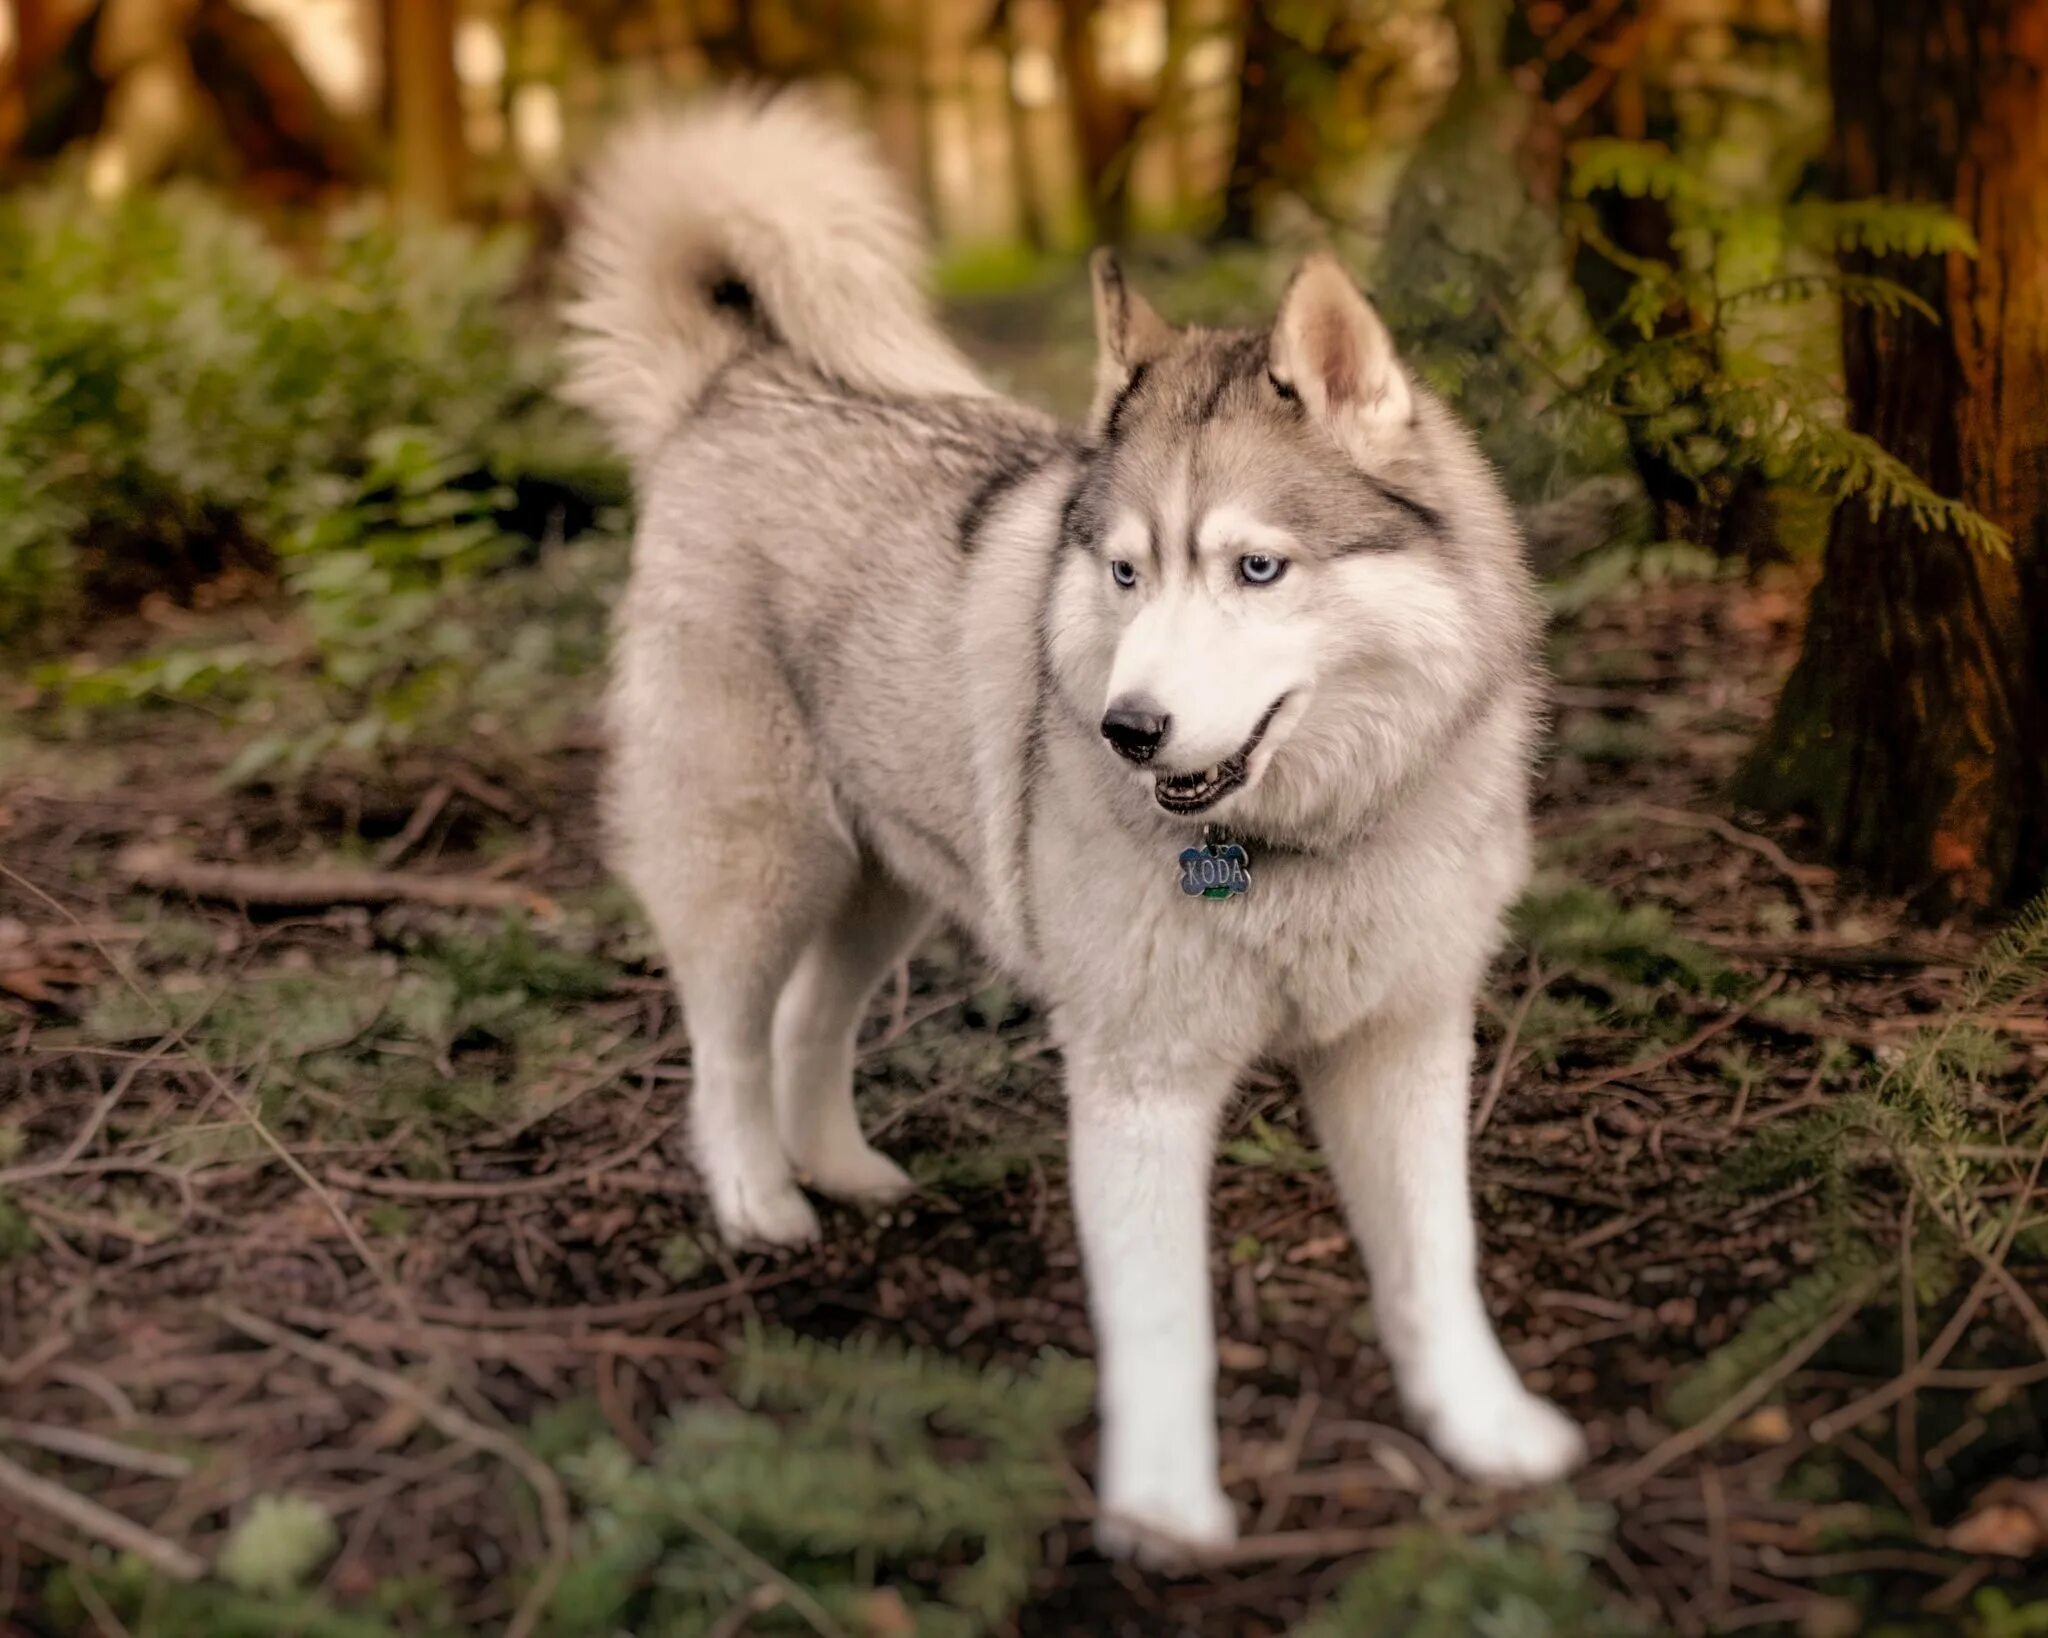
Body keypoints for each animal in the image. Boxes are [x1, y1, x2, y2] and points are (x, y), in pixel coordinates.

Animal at [569, 92, 1589, 1564]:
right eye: (1123, 571)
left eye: (1255, 567)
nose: (1126, 729)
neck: (1292, 848)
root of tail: (738, 383)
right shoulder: (1139, 1082)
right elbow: (1164, 1321)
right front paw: (1162, 1510)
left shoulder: (1400, 1043)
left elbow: (1433, 1260)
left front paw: (1484, 1427)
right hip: (763, 862)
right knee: (723, 1036)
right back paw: (758, 1194)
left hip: (894, 877)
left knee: (812, 1016)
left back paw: (840, 1166)